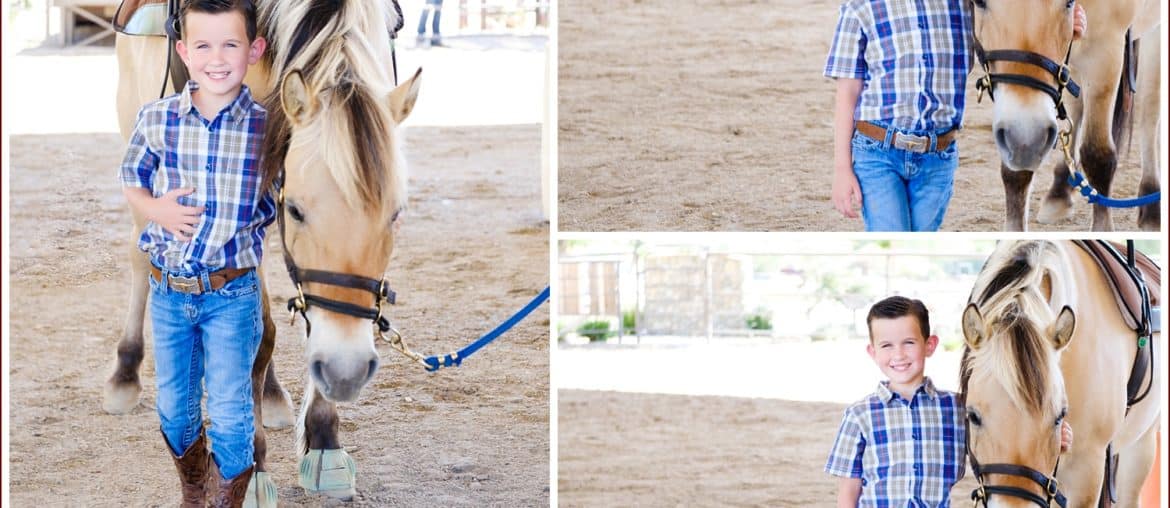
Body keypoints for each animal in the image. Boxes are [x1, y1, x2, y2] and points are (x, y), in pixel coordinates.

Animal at [107, 0, 423, 503]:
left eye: (396, 213)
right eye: (296, 209)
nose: (347, 371)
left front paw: (324, 440)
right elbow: (258, 336)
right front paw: (252, 468)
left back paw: (272, 394)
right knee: (143, 253)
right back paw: (125, 371)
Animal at [968, 0, 1160, 231]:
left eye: (1069, 3)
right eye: (979, 2)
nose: (1026, 139)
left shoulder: (1105, 53)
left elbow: (1098, 155)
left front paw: (1103, 229)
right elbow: (1016, 173)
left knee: (1149, 113)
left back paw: (1151, 208)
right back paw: (1059, 193)